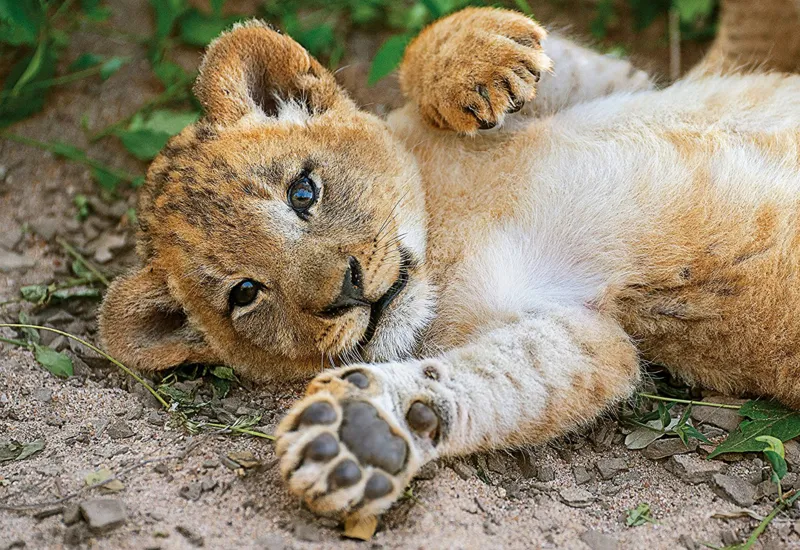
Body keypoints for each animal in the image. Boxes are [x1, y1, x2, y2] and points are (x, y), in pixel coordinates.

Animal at [100, 0, 800, 522]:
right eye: (245, 293)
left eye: (303, 191)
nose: (348, 290)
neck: (445, 229)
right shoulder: (591, 335)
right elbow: (504, 377)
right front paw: (364, 434)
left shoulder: (629, 89)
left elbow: (436, 57)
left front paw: (483, 55)